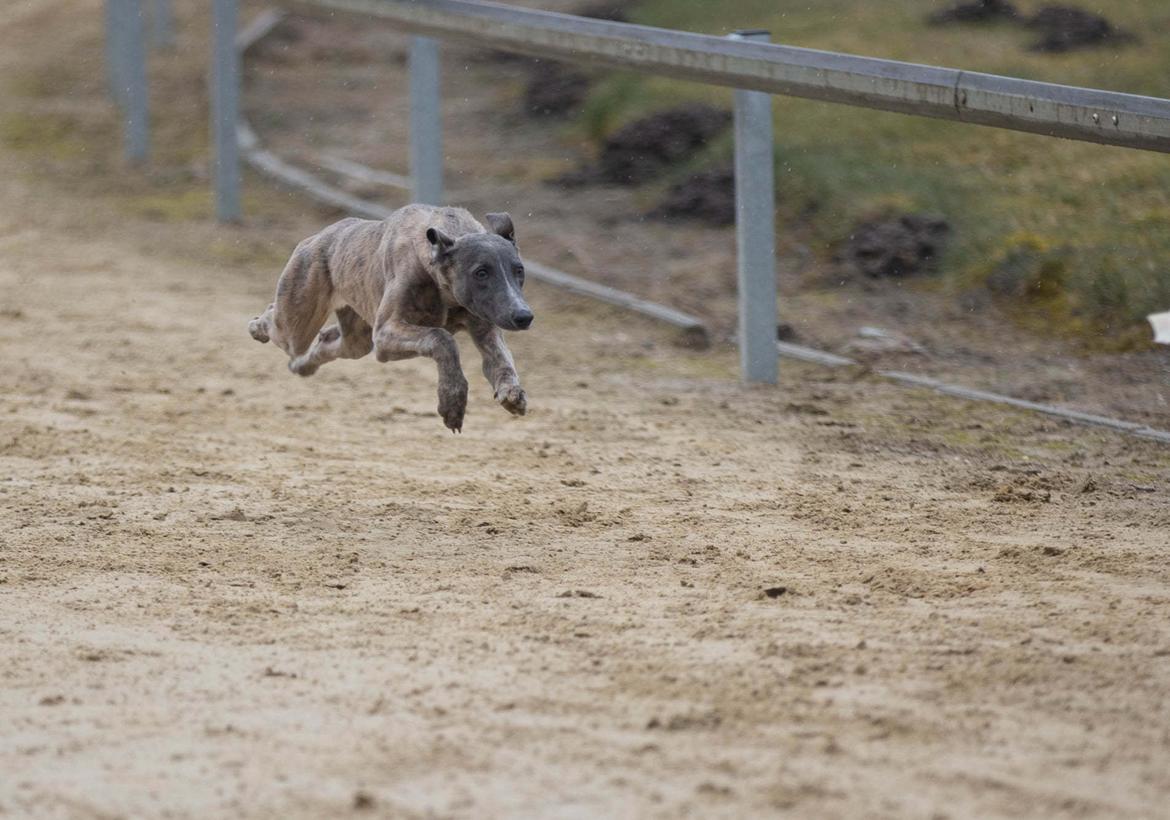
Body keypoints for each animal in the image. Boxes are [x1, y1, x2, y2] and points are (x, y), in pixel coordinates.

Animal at [253, 204, 535, 432]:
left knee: (328, 342)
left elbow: (500, 361)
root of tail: (319, 237)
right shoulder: (386, 335)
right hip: (296, 322)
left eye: (519, 270)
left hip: (357, 339)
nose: (524, 316)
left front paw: (512, 393)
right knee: (277, 320)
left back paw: (303, 365)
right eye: (481, 272)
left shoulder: (485, 329)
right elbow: (442, 338)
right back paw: (258, 327)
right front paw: (452, 402)